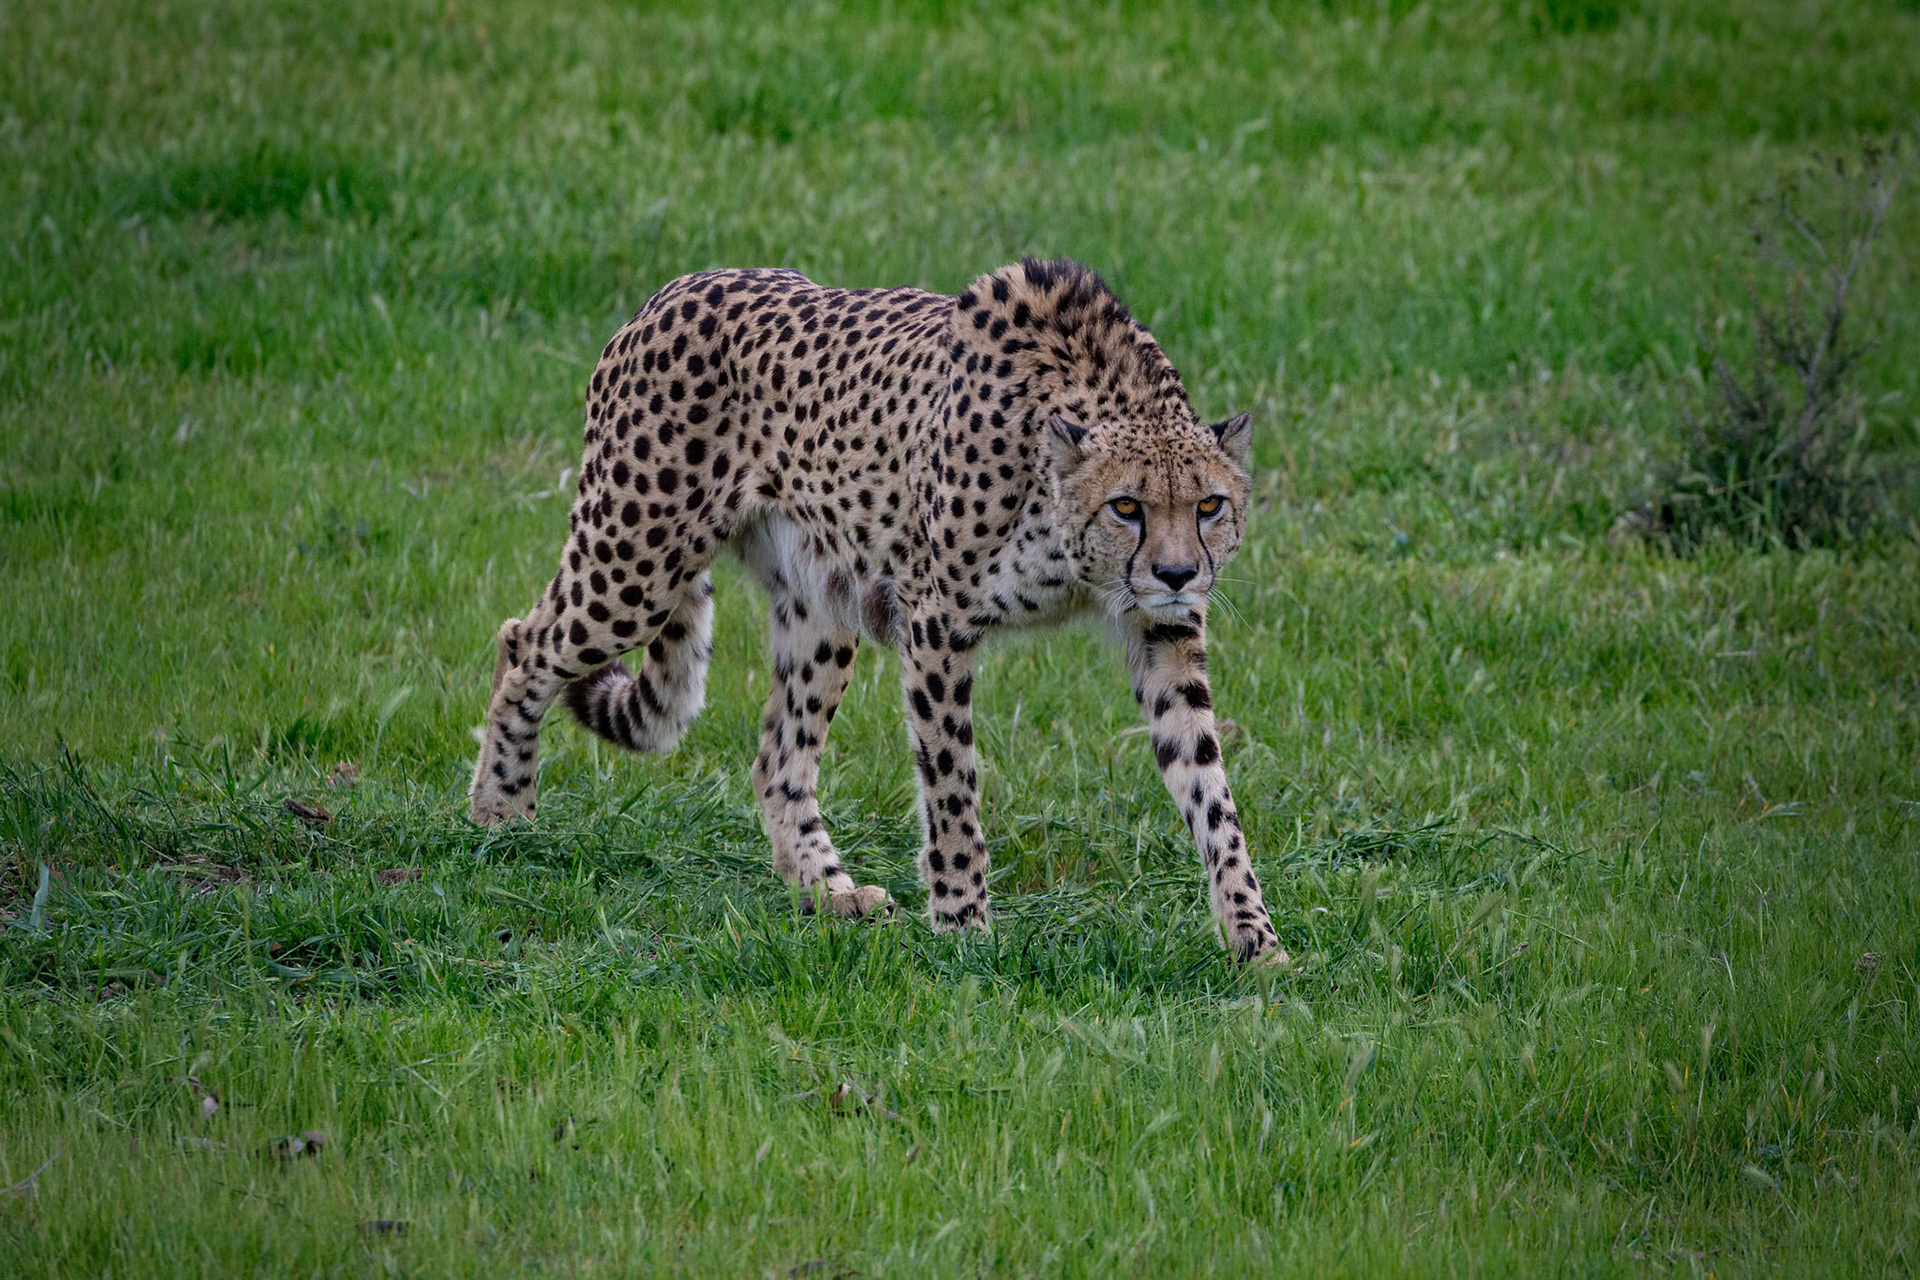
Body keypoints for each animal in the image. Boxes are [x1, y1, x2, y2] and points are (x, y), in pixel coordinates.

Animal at [468, 257, 1286, 962]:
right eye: (1126, 506)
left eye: (1209, 505)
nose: (1178, 571)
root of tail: (677, 288)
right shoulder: (937, 622)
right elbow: (952, 784)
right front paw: (963, 926)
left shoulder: (1163, 634)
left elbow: (1210, 788)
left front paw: (1255, 938)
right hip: (635, 564)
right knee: (522, 641)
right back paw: (501, 816)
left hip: (820, 609)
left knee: (777, 759)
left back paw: (830, 892)